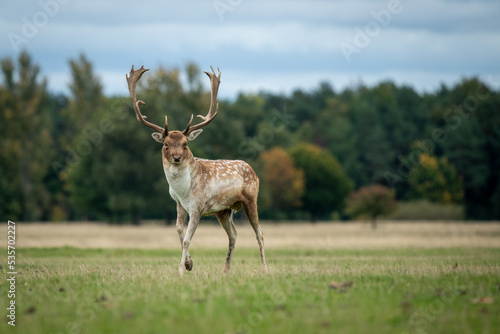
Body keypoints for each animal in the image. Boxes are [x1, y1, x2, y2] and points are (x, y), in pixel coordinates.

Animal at [127, 66, 268, 276]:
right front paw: (189, 264)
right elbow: (178, 230)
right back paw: (225, 271)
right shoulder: (178, 203)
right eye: (166, 144)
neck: (183, 190)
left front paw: (180, 271)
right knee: (234, 234)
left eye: (185, 144)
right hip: (224, 210)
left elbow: (187, 238)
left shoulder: (198, 206)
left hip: (251, 198)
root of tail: (253, 171)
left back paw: (265, 270)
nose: (177, 157)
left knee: (260, 233)